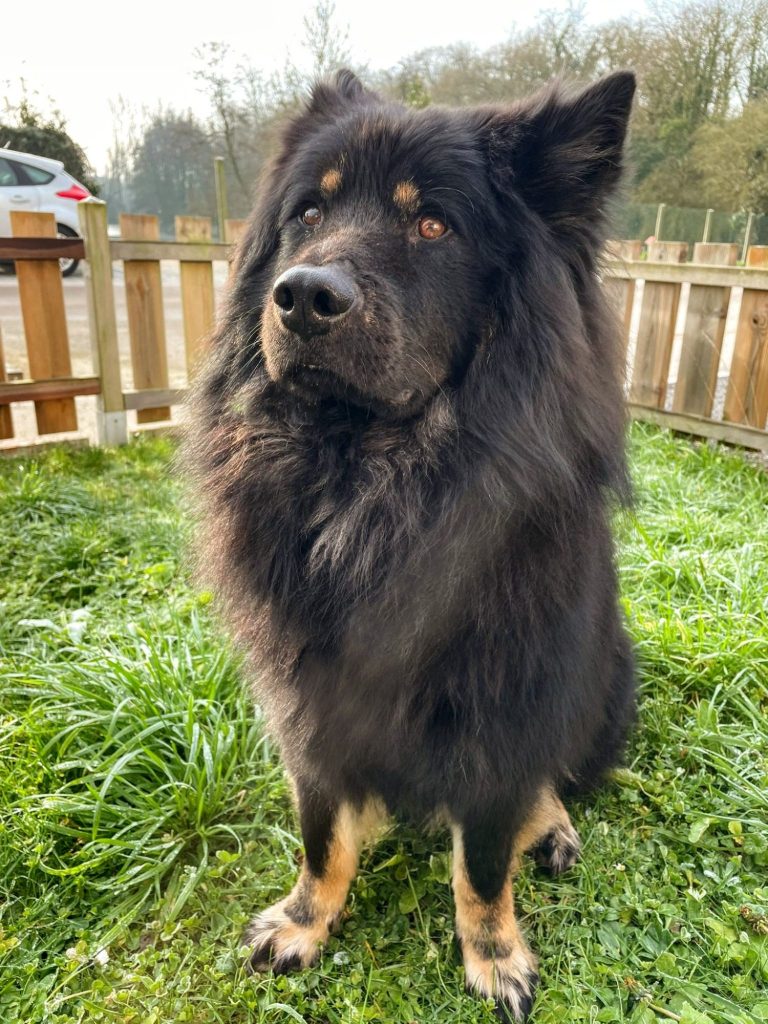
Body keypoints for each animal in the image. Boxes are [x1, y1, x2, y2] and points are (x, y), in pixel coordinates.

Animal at [189, 68, 638, 1019]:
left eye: (433, 225)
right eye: (308, 214)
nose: (303, 296)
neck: (373, 483)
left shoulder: (507, 703)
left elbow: (484, 860)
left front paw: (495, 955)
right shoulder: (307, 699)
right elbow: (321, 832)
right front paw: (306, 920)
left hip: (608, 678)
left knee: (551, 779)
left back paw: (553, 826)